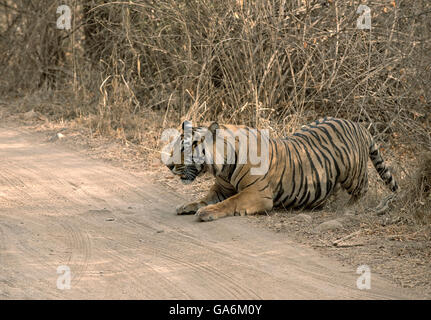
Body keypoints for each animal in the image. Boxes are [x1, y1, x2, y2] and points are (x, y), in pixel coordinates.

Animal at [164, 116, 400, 221]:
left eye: (186, 147)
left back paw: (350, 207)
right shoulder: (222, 188)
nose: (168, 165)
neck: (222, 166)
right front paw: (187, 205)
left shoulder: (257, 194)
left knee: (363, 188)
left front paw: (207, 212)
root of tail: (359, 125)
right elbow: (204, 197)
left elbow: (230, 202)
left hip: (352, 173)